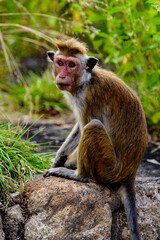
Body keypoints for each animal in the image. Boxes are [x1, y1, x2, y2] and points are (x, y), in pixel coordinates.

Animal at [43, 38, 148, 239]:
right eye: (60, 63)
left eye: (71, 65)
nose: (62, 76)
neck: (86, 81)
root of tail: (130, 172)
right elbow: (78, 129)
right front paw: (59, 159)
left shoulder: (89, 97)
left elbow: (85, 126)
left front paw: (68, 166)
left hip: (108, 168)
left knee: (93, 127)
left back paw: (79, 175)